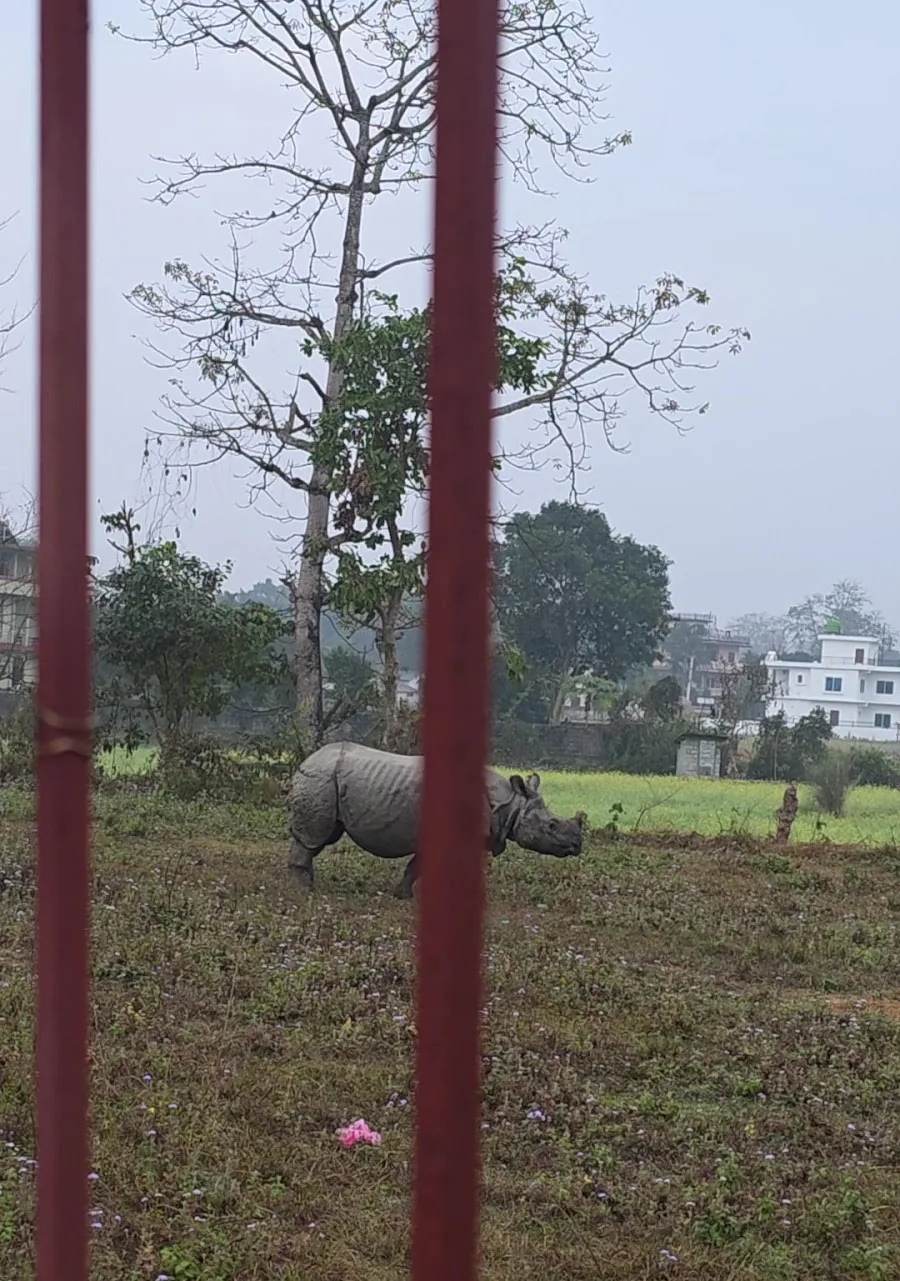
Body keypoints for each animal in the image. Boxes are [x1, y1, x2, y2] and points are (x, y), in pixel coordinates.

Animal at [286, 740, 585, 898]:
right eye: (551, 826)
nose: (577, 846)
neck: (510, 803)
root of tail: (307, 760)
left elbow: (418, 866)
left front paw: (404, 895)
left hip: (328, 781)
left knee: (321, 837)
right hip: (321, 779)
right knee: (313, 836)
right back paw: (305, 892)